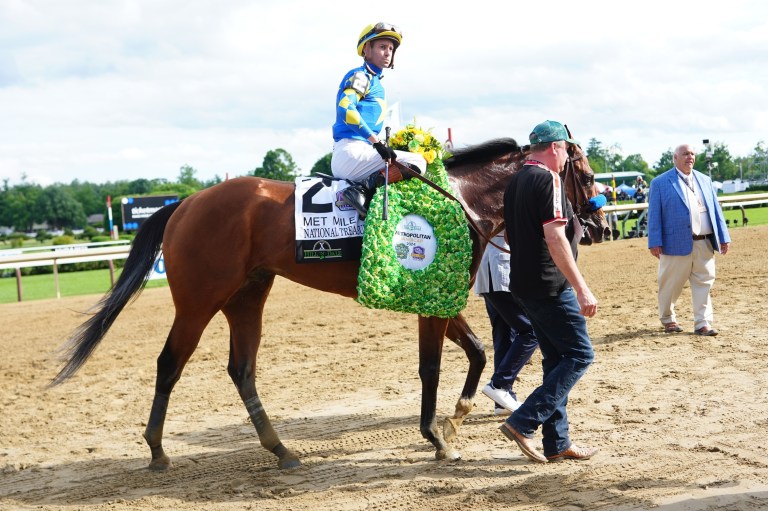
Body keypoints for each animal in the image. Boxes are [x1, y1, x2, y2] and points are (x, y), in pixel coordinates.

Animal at [51, 136, 609, 471]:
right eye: (585, 172)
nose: (598, 225)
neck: (459, 197)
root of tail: (185, 203)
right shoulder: (430, 299)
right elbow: (431, 367)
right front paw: (436, 436)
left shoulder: (443, 298)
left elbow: (475, 352)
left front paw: (456, 418)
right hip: (198, 302)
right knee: (170, 364)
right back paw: (157, 449)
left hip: (247, 296)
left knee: (241, 369)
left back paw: (281, 450)